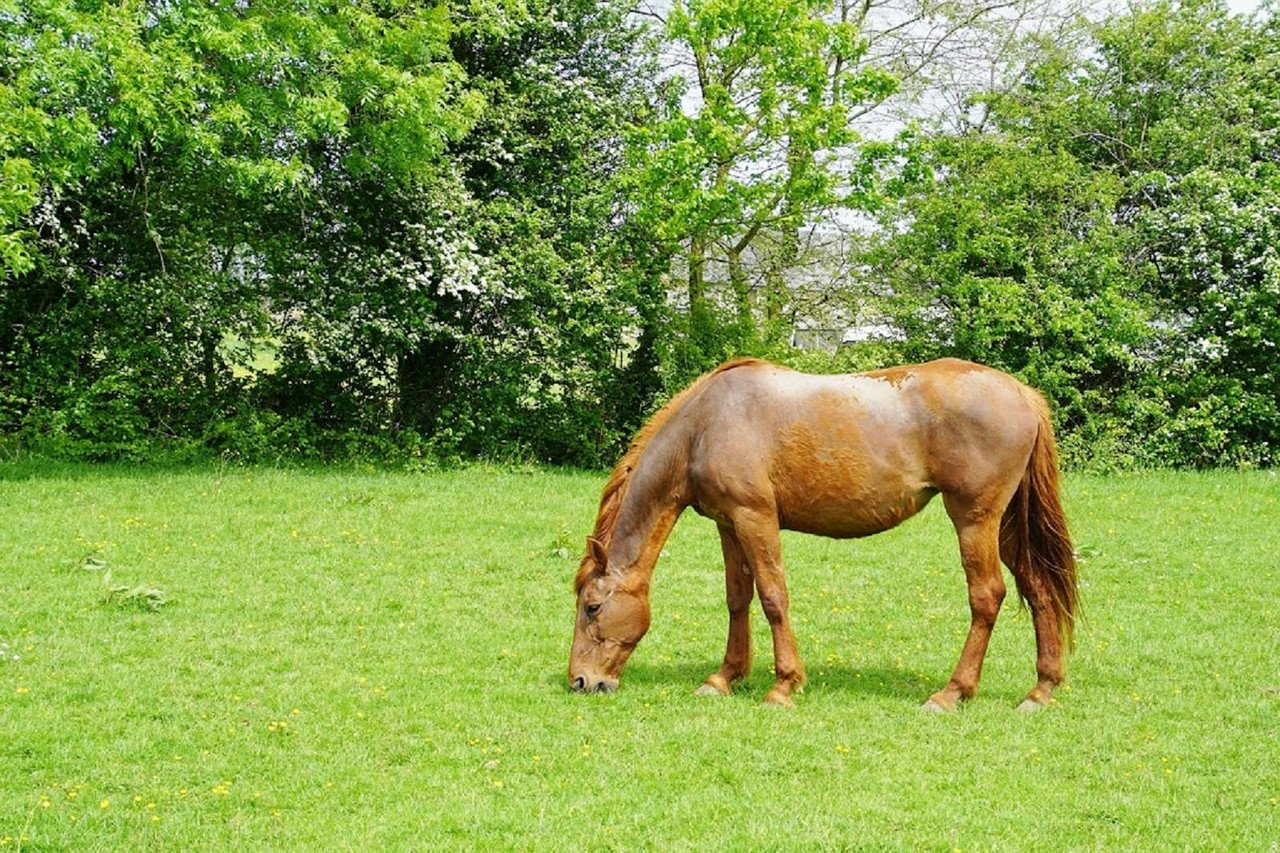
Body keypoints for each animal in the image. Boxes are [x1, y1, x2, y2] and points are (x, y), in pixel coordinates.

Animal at [568, 357, 1079, 712]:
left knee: (987, 596)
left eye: (592, 607)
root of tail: (1022, 393)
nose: (580, 681)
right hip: (1007, 525)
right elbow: (738, 599)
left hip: (974, 519)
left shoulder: (755, 518)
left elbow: (773, 597)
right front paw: (724, 678)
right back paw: (1040, 690)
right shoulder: (728, 523)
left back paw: (952, 692)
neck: (705, 425)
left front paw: (782, 686)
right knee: (1038, 590)